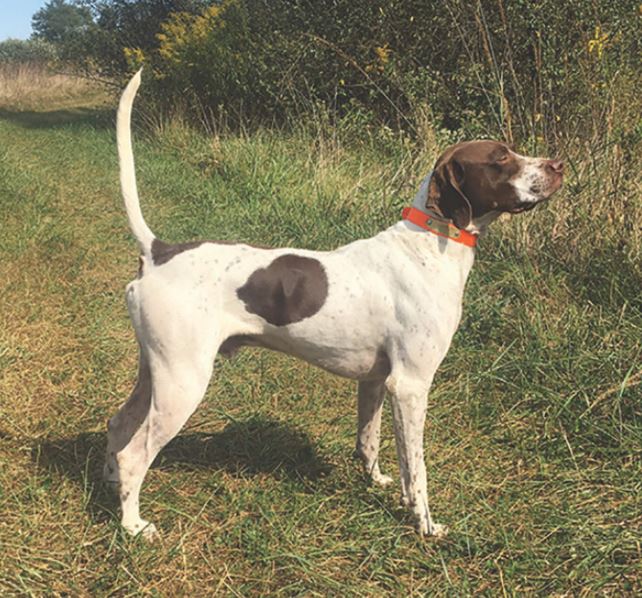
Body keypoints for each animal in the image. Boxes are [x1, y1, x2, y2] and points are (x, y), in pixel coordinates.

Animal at [104, 70, 560, 540]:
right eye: (500, 157)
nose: (557, 165)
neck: (428, 245)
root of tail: (159, 251)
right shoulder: (411, 386)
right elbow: (417, 470)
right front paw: (424, 523)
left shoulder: (377, 381)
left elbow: (369, 442)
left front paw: (378, 483)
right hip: (182, 383)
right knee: (134, 453)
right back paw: (134, 525)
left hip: (155, 372)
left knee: (118, 428)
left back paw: (112, 486)